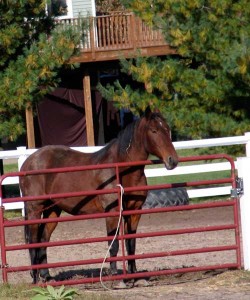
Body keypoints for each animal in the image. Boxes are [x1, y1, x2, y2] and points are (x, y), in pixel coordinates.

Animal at [19, 107, 178, 284]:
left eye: (168, 129)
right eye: (154, 130)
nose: (173, 160)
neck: (122, 169)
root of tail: (29, 161)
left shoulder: (134, 212)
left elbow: (131, 243)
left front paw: (134, 276)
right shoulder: (112, 212)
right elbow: (113, 244)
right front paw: (116, 277)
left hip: (52, 210)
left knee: (43, 239)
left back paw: (46, 276)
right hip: (34, 209)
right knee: (33, 240)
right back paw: (35, 278)